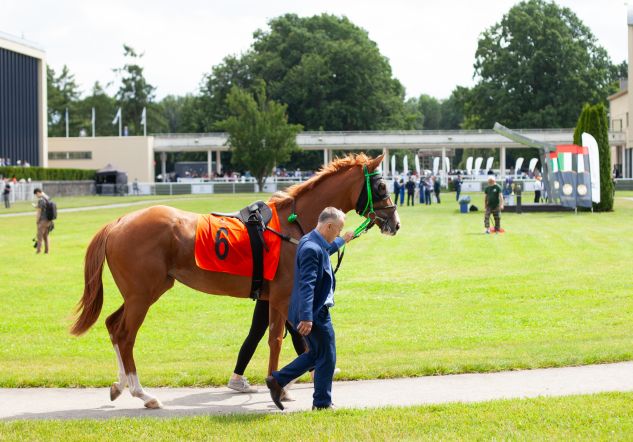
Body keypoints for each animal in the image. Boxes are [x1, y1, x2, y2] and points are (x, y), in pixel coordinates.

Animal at [70, 154, 400, 410]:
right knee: (125, 335)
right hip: (142, 294)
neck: (292, 225)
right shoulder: (282, 295)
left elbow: (291, 339)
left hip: (143, 292)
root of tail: (118, 222)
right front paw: (279, 387)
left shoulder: (276, 297)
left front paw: (287, 381)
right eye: (382, 185)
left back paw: (119, 385)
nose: (395, 223)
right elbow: (277, 339)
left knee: (113, 325)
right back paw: (143, 394)